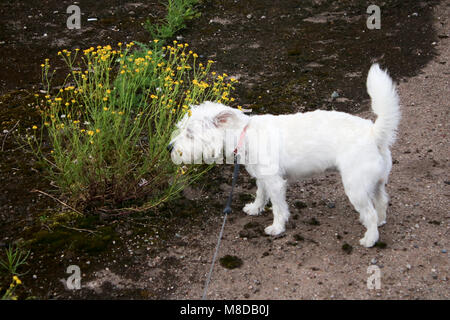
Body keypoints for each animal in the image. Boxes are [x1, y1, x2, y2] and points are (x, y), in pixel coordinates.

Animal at [170, 62, 400, 248]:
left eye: (189, 133)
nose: (170, 147)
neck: (244, 135)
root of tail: (375, 134)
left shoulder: (275, 182)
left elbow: (278, 207)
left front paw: (277, 228)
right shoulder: (263, 178)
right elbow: (260, 194)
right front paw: (255, 208)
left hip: (356, 187)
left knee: (370, 212)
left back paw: (370, 238)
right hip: (376, 182)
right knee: (381, 202)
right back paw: (379, 222)